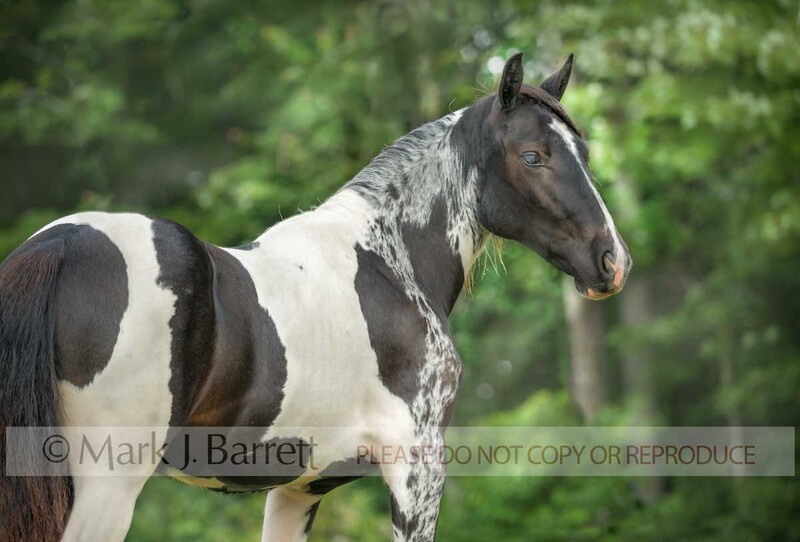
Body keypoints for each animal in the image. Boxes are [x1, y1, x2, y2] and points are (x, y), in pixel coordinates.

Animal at [0, 52, 630, 541]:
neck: (389, 263)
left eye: (584, 153)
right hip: (106, 488)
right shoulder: (417, 470)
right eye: (532, 156)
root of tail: (60, 245)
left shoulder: (300, 487)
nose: (612, 260)